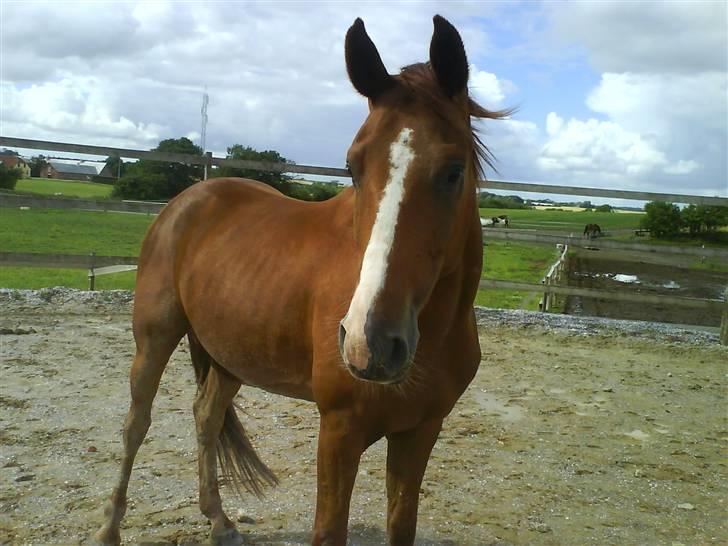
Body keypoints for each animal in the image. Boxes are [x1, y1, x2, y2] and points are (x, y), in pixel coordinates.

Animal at [94, 13, 510, 544]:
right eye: (352, 167)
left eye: (455, 170)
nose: (370, 343)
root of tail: (187, 200)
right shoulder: (338, 432)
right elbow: (328, 530)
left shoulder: (420, 431)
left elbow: (402, 524)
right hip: (154, 339)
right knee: (136, 424)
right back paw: (110, 527)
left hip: (230, 357)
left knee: (206, 417)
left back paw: (220, 521)